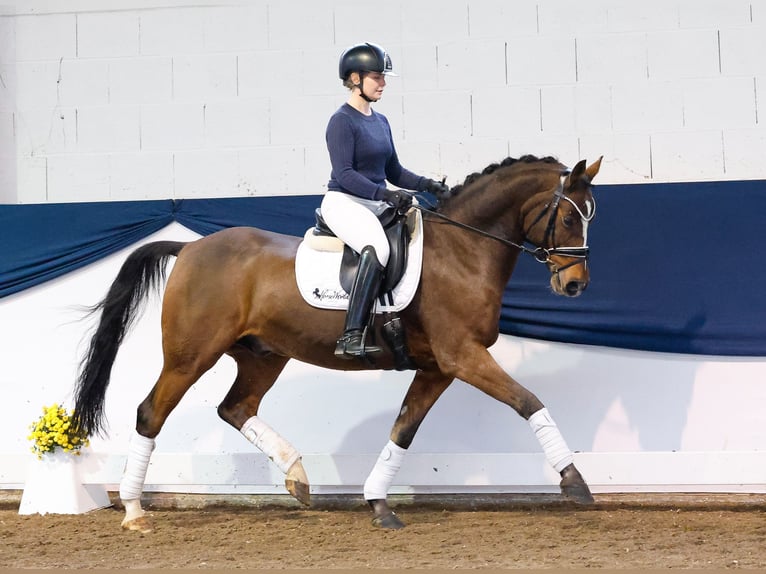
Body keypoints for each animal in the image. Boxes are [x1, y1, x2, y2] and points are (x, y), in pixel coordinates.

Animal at [73, 152, 600, 532]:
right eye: (569, 220)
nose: (575, 285)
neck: (462, 251)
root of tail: (190, 248)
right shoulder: (463, 356)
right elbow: (528, 401)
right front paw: (575, 482)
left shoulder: (437, 367)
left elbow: (403, 430)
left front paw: (379, 503)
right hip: (190, 357)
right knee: (151, 413)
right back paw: (134, 511)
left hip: (263, 355)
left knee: (235, 408)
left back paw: (297, 477)